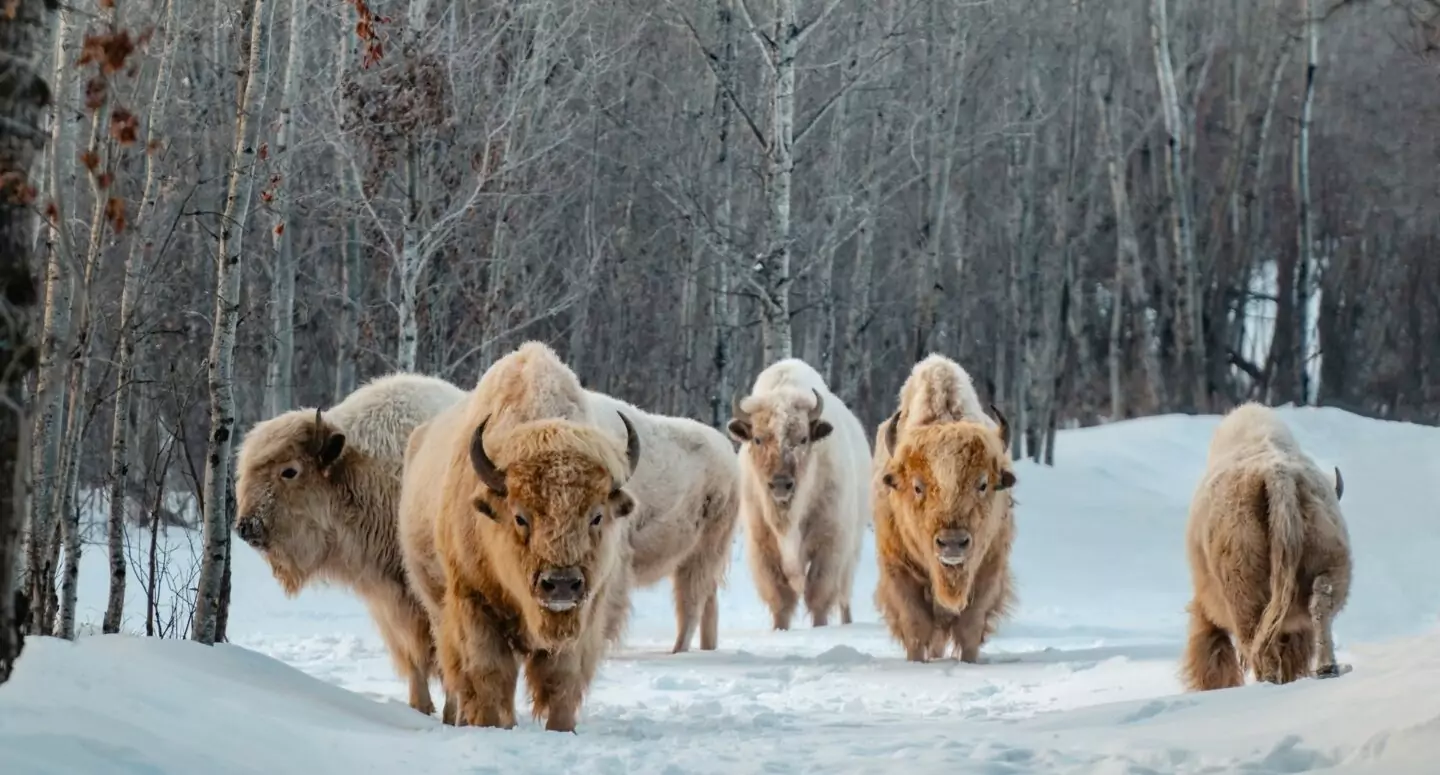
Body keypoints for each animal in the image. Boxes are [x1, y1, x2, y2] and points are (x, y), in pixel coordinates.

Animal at [725, 355, 869, 628]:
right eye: (757, 439)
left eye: (803, 439)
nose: (781, 484)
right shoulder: (763, 547)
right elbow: (780, 599)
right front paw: (780, 629)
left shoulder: (829, 544)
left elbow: (818, 595)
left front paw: (820, 628)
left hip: (851, 549)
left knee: (844, 595)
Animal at [869, 352, 1019, 659]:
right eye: (917, 486)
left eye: (982, 484)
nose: (952, 543)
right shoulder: (898, 572)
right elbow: (915, 627)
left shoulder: (989, 569)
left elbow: (971, 627)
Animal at [1180, 397, 1347, 688]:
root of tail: (1278, 475)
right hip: (1329, 561)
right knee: (1320, 605)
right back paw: (1327, 667)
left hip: (1244, 592)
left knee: (1258, 643)